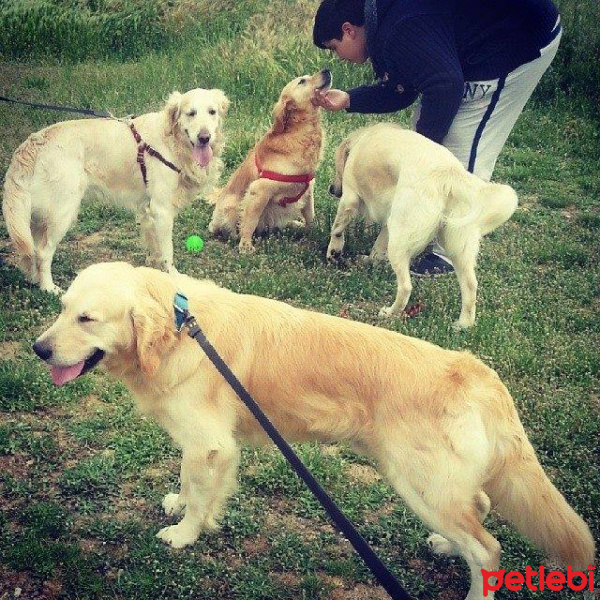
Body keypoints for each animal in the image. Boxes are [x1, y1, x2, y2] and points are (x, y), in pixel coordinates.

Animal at [2, 88, 227, 292]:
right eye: (191, 113)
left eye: (212, 112)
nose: (205, 137)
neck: (172, 140)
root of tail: (33, 142)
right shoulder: (162, 209)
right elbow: (167, 252)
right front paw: (172, 275)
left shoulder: (148, 210)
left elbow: (154, 248)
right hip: (63, 211)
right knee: (42, 252)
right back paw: (49, 288)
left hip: (38, 216)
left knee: (31, 249)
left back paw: (34, 279)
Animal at [35, 262, 592, 600]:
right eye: (61, 307)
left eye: (87, 319)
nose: (39, 349)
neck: (178, 330)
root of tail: (479, 373)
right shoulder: (209, 447)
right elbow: (196, 487)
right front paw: (186, 508)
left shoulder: (211, 444)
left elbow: (198, 494)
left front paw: (185, 534)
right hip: (433, 484)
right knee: (478, 509)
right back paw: (445, 545)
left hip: (417, 483)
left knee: (488, 548)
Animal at [210, 68, 332, 253]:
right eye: (302, 81)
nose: (327, 70)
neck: (300, 134)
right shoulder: (259, 190)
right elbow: (249, 222)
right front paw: (245, 245)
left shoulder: (309, 189)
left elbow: (310, 216)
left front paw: (313, 232)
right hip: (230, 206)